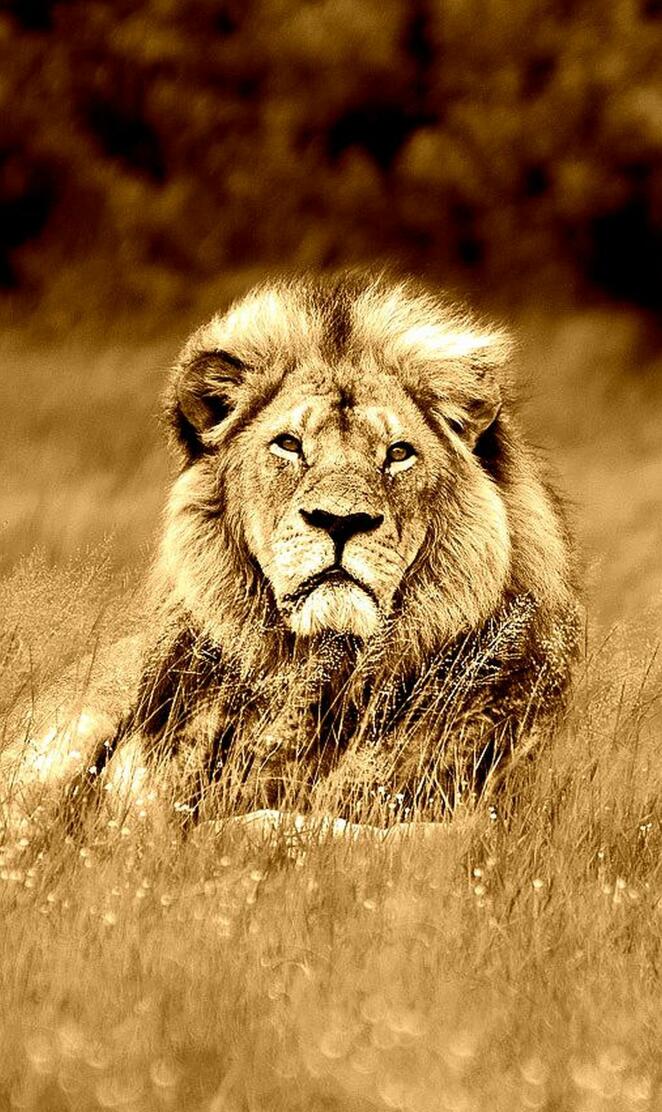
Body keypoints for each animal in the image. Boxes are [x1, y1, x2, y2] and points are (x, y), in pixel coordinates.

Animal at [4, 271, 579, 829]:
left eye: (398, 453)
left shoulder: (487, 809)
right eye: (288, 444)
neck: (330, 676)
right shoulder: (138, 797)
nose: (341, 521)